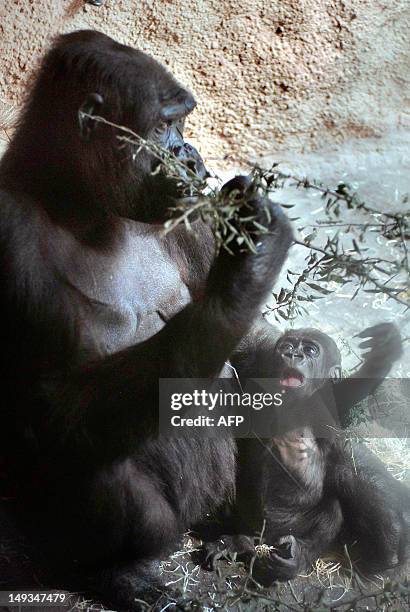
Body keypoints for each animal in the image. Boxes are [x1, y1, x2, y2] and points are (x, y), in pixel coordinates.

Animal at [0, 29, 292, 608]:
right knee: (85, 454)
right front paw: (242, 277)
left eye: (182, 123)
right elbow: (49, 405)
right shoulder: (9, 232)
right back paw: (119, 572)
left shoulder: (191, 210)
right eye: (162, 127)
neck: (79, 202)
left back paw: (240, 534)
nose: (190, 156)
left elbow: (248, 345)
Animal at [203, 320, 410, 584]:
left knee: (331, 512)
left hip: (287, 528)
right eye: (287, 346)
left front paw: (382, 352)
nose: (294, 354)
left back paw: (295, 556)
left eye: (311, 351)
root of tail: (262, 536)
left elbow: (348, 462)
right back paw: (236, 542)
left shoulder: (330, 406)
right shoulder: (256, 365)